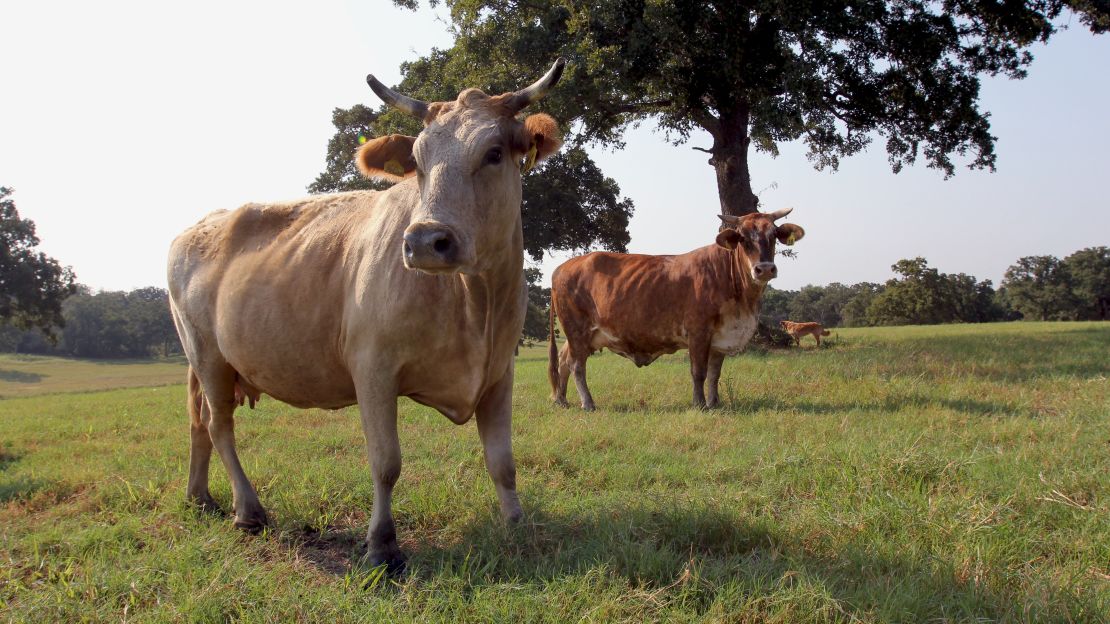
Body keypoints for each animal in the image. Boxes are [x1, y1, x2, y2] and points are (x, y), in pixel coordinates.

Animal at [168, 60, 568, 572]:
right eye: (417, 160)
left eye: (494, 152)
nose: (424, 241)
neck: (474, 302)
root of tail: (199, 225)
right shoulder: (373, 368)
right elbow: (386, 461)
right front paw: (381, 544)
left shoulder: (499, 371)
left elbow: (503, 459)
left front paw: (516, 524)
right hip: (209, 356)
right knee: (220, 425)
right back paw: (248, 510)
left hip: (203, 364)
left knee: (198, 422)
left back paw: (200, 498)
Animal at [548, 210, 803, 410]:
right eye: (743, 238)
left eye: (774, 235)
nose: (765, 269)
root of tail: (564, 267)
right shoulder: (698, 332)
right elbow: (698, 372)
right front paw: (700, 404)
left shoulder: (720, 337)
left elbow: (714, 374)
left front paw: (715, 403)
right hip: (576, 329)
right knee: (576, 366)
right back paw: (587, 403)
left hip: (580, 335)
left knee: (563, 360)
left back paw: (562, 400)